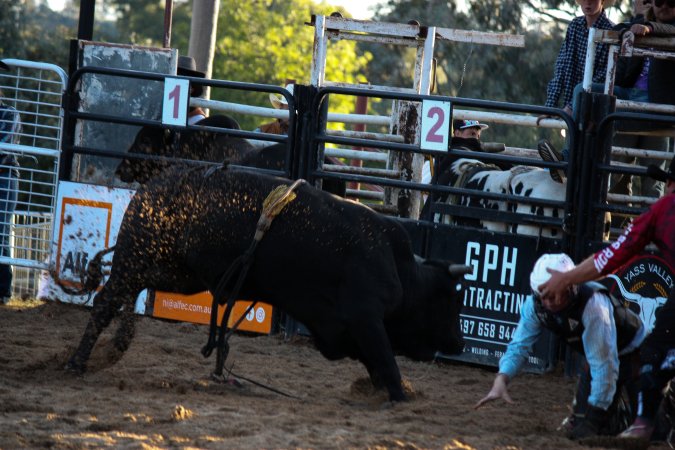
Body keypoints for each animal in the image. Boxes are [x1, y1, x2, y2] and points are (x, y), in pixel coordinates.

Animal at [65, 165, 470, 402]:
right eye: (451, 300)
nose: (459, 342)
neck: (401, 269)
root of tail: (154, 185)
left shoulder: (351, 329)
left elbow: (376, 364)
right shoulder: (366, 319)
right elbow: (387, 361)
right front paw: (401, 397)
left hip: (177, 271)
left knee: (125, 292)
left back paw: (114, 344)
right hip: (137, 251)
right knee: (107, 299)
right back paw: (78, 363)